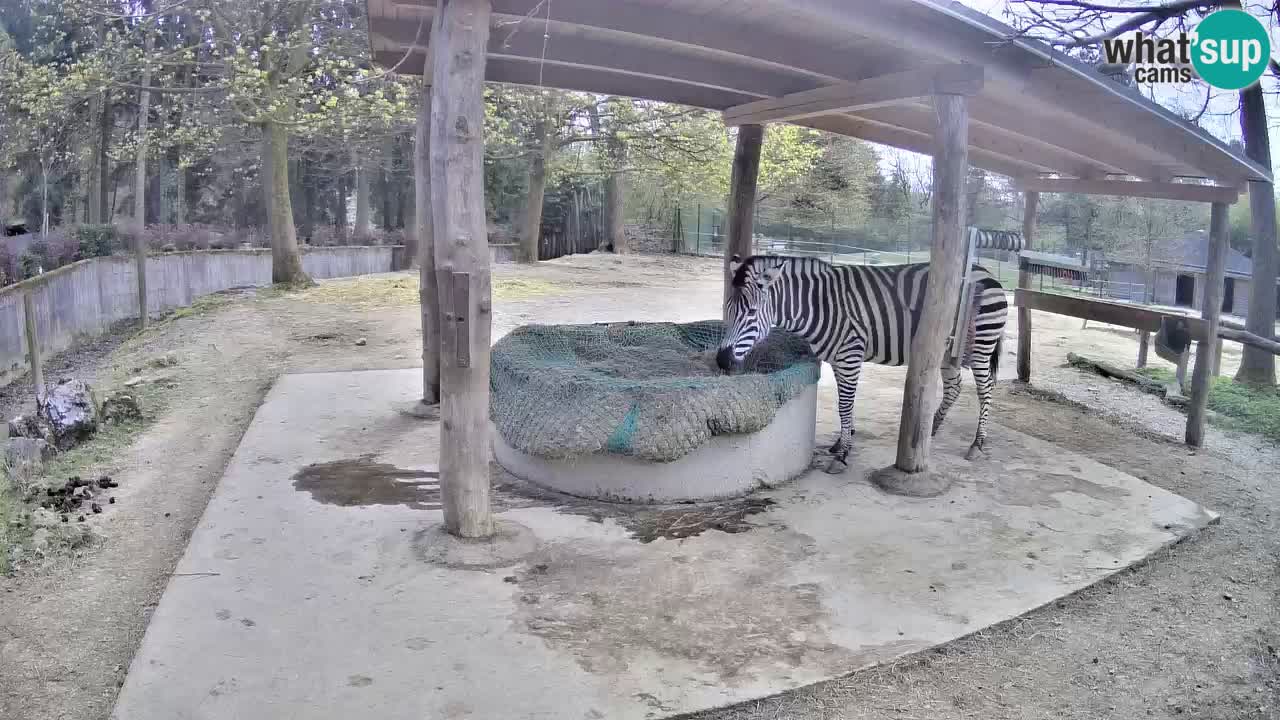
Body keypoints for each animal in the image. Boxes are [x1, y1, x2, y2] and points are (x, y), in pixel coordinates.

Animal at [716, 254, 1009, 472]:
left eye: (752, 312)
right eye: (727, 309)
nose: (721, 361)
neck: (820, 305)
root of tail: (987, 273)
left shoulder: (850, 353)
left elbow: (845, 404)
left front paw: (842, 454)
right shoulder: (838, 358)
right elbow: (844, 403)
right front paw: (842, 441)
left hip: (981, 343)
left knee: (986, 389)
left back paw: (977, 443)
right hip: (946, 349)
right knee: (955, 386)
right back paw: (933, 426)